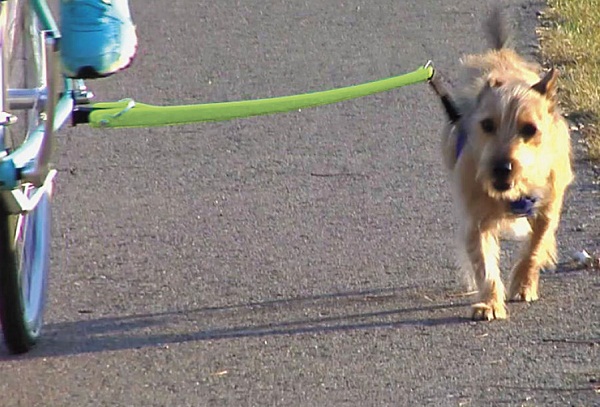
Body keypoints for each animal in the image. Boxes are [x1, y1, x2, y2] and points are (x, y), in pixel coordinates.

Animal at [440, 7, 572, 320]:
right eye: (487, 125)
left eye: (530, 129)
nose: (501, 168)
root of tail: (500, 52)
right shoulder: (476, 218)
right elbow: (484, 264)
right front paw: (489, 302)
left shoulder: (548, 205)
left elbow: (536, 244)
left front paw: (524, 283)